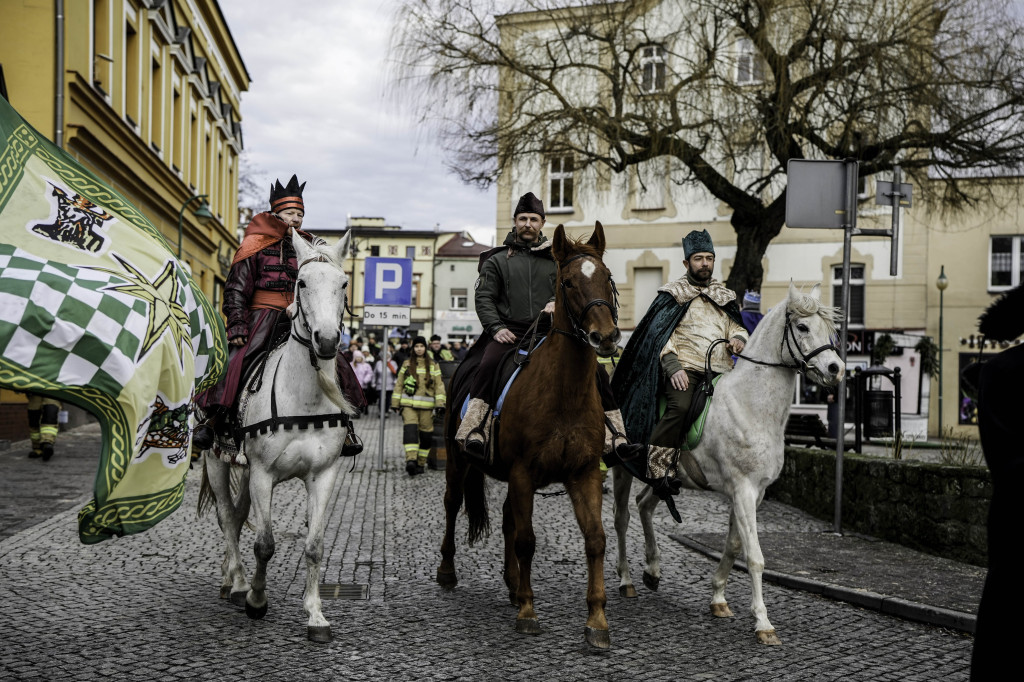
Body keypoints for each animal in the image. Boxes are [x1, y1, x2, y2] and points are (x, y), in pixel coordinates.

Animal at [199, 231, 356, 638]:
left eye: (343, 284)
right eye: (301, 283)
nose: (326, 340)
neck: (303, 395)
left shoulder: (323, 476)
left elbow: (315, 545)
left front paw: (316, 615)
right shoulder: (262, 474)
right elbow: (265, 544)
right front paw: (256, 599)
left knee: (238, 517)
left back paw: (231, 578)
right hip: (216, 461)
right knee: (227, 518)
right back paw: (239, 583)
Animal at [438, 220, 618, 647]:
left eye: (607, 277)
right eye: (567, 281)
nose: (606, 337)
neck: (563, 393)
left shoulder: (584, 473)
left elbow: (596, 539)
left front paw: (597, 621)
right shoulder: (522, 472)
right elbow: (527, 540)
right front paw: (528, 612)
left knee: (506, 518)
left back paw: (512, 584)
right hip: (457, 460)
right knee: (453, 505)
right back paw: (449, 572)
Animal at [610, 280, 843, 643]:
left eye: (828, 328)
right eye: (803, 327)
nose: (836, 369)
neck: (750, 406)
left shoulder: (753, 493)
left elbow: (734, 546)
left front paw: (718, 597)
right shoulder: (743, 489)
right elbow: (755, 556)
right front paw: (763, 622)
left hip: (665, 479)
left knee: (644, 504)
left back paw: (653, 569)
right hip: (623, 468)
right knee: (622, 518)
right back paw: (626, 580)